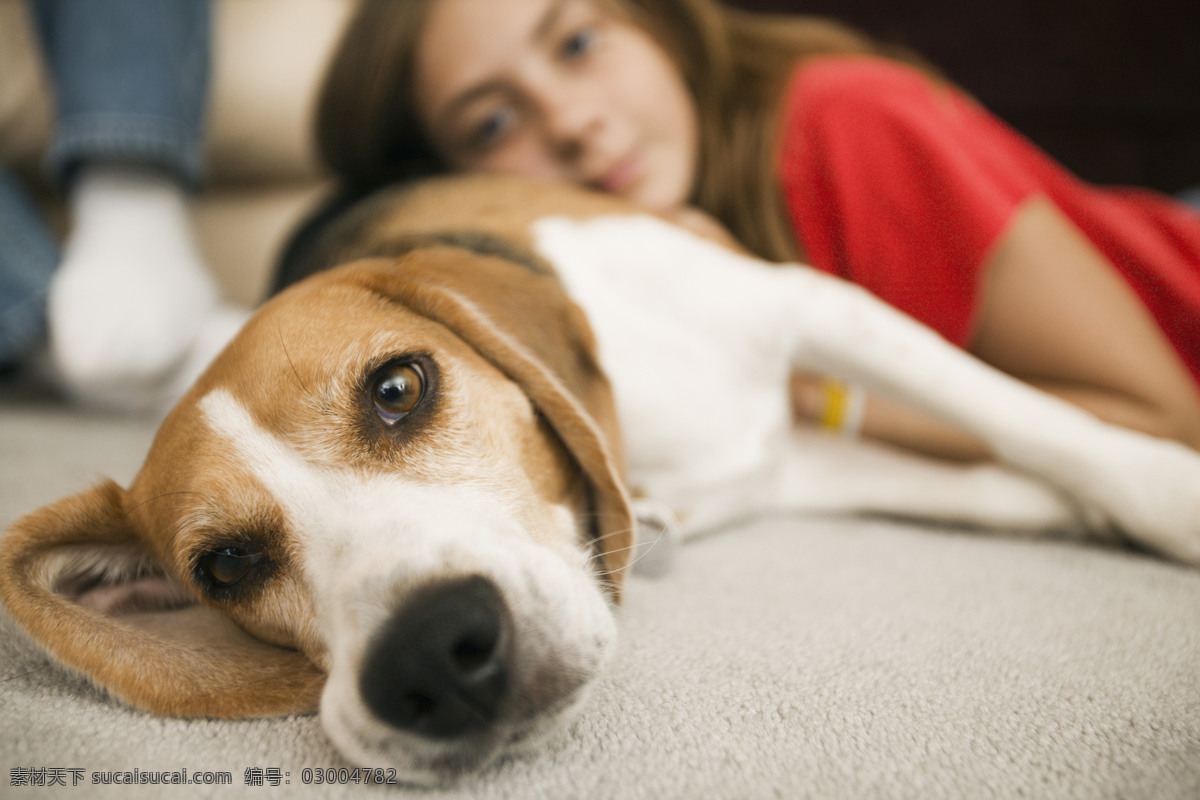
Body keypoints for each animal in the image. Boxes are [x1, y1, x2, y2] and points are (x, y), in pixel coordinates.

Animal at [2, 173, 1200, 782]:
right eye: (226, 566)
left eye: (397, 387)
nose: (434, 656)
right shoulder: (790, 469)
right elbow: (1002, 481)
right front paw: (1076, 509)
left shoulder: (813, 306)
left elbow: (1034, 422)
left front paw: (1164, 494)